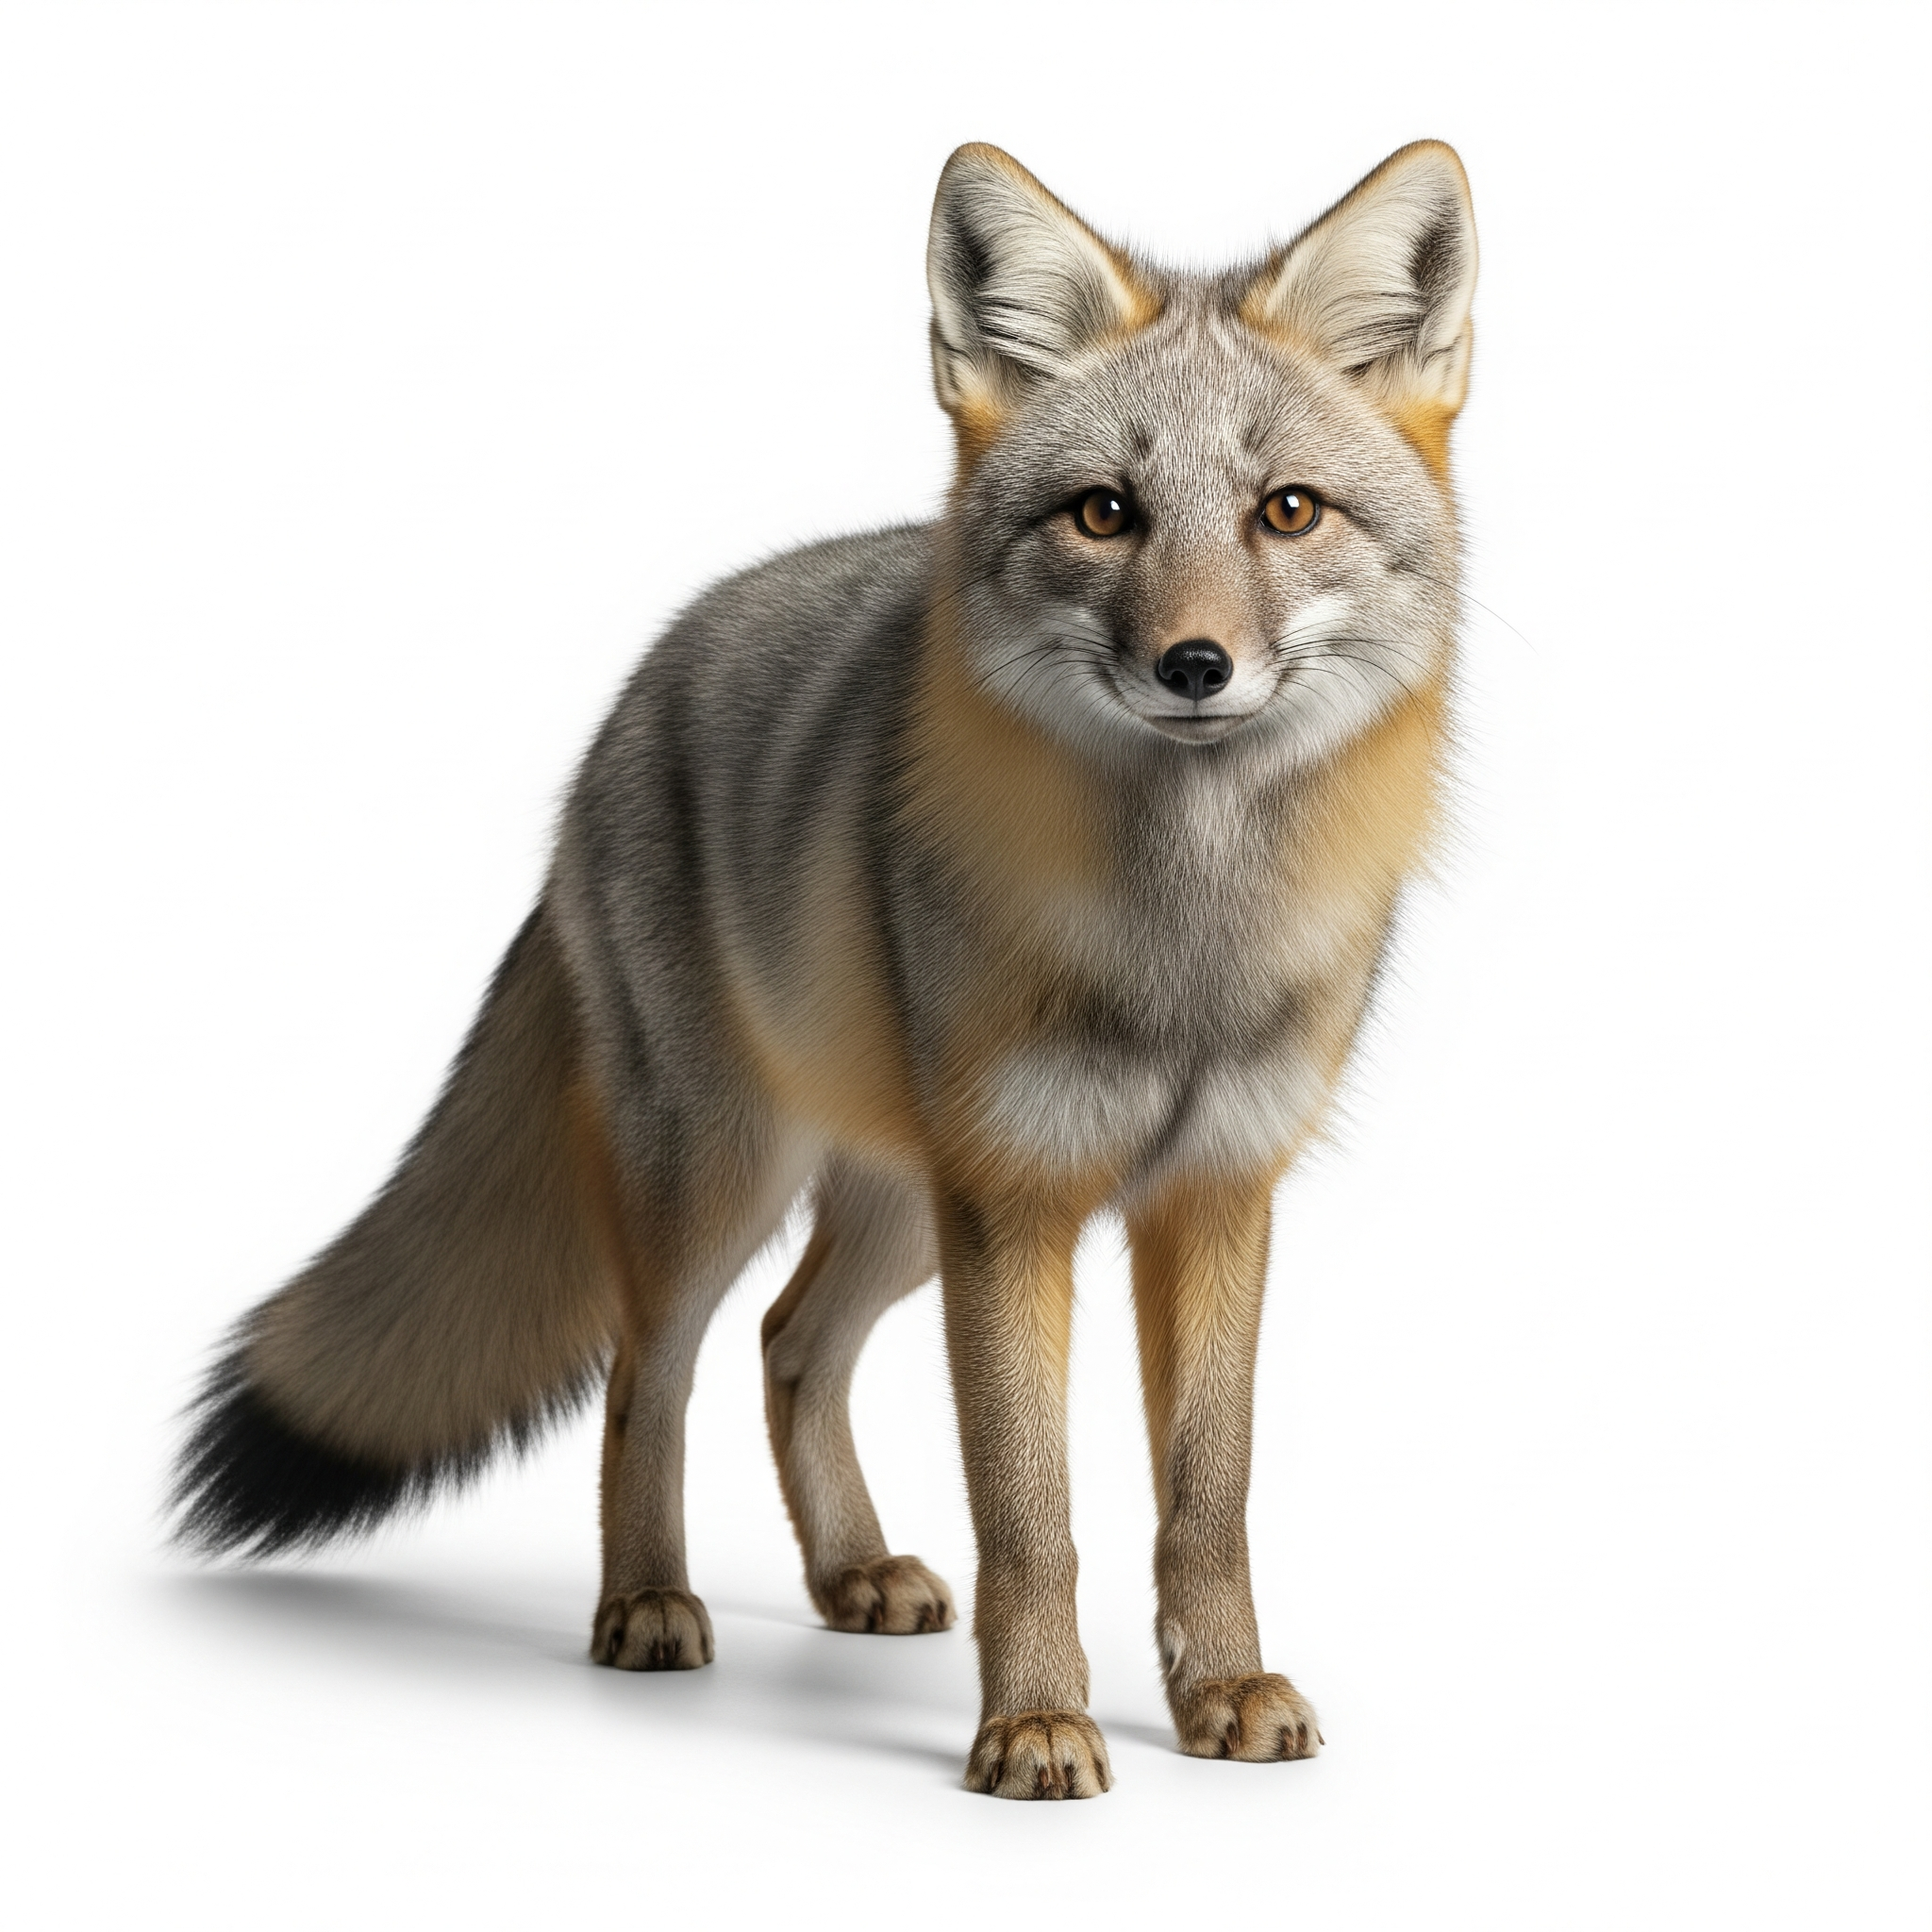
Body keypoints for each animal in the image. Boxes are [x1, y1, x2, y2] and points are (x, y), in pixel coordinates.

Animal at [173, 139, 1478, 1800]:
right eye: (1105, 514)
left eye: (1288, 511)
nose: (1195, 667)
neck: (1180, 944)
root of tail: (645, 681)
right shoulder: (1019, 1202)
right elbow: (1030, 1513)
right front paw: (1035, 1725)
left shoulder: (1213, 1193)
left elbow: (1207, 1498)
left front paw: (1221, 1691)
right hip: (729, 1177)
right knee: (648, 1376)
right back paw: (647, 1602)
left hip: (902, 1202)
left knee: (793, 1343)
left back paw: (848, 1572)